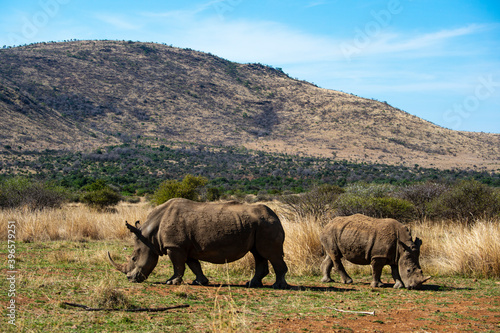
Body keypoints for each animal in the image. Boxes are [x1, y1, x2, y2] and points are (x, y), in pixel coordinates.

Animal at [108, 197, 290, 288]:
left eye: (133, 258)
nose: (130, 279)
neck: (149, 236)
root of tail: (276, 215)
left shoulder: (175, 246)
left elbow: (178, 265)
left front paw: (171, 282)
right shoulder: (184, 246)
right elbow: (193, 265)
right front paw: (200, 282)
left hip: (267, 224)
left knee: (269, 253)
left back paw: (278, 286)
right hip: (260, 225)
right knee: (258, 254)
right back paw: (252, 284)